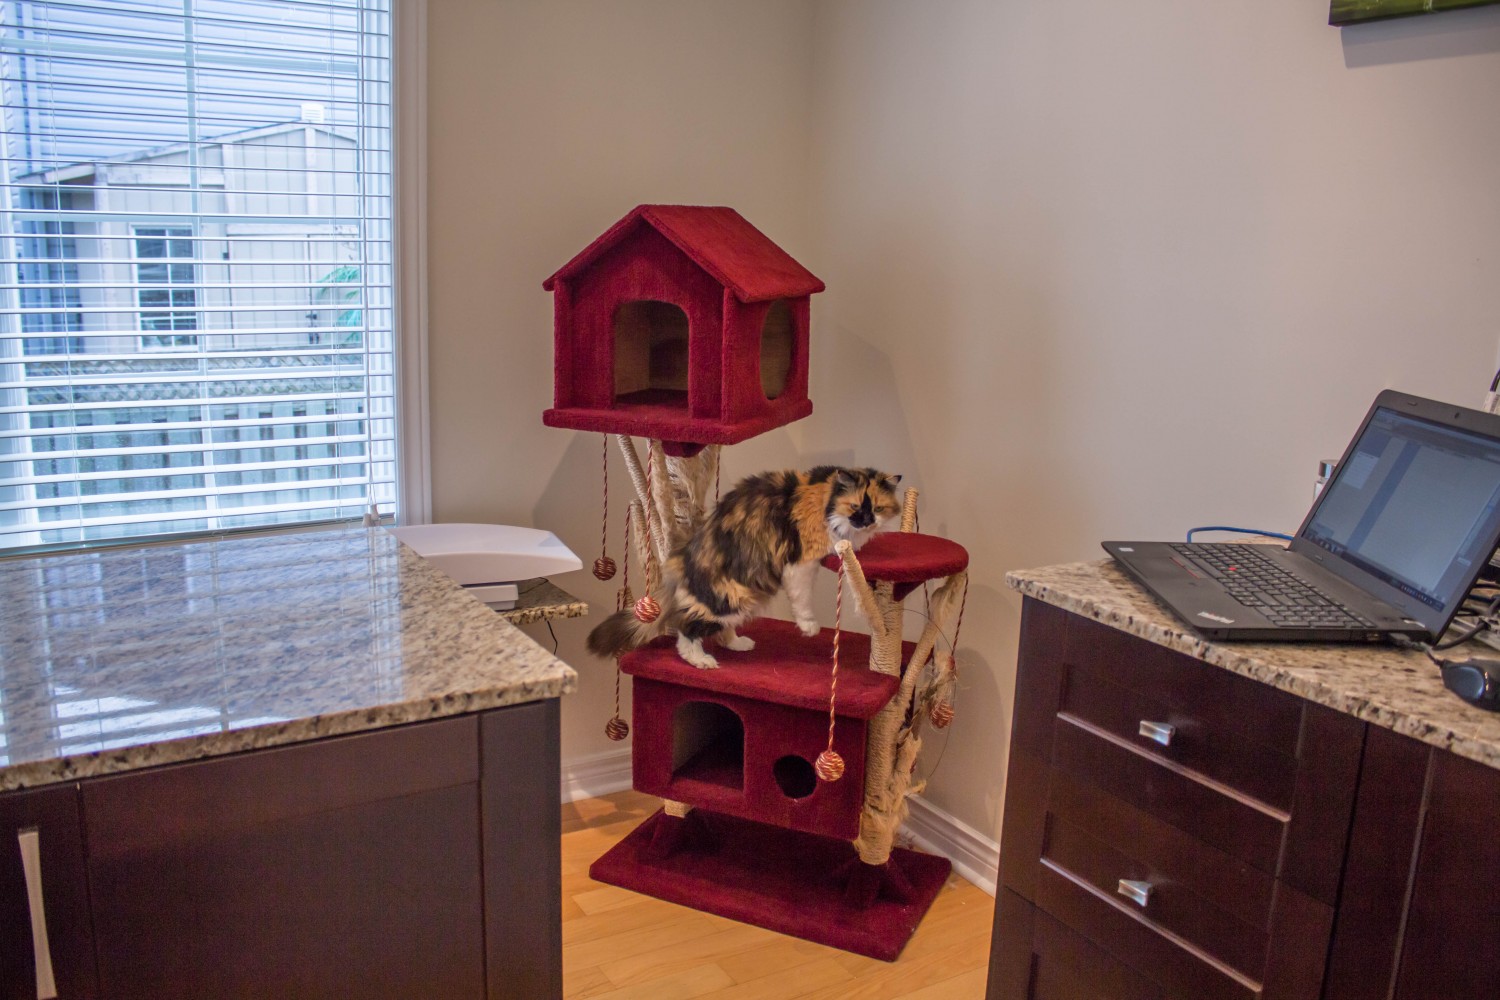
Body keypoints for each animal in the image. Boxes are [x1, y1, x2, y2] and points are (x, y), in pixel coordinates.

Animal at [588, 464, 900, 668]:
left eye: (878, 509)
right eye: (855, 507)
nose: (867, 521)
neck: (825, 496)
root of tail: (681, 561)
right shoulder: (801, 563)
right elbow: (803, 601)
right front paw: (809, 627)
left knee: (718, 630)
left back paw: (739, 644)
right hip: (731, 598)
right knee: (686, 630)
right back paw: (702, 661)